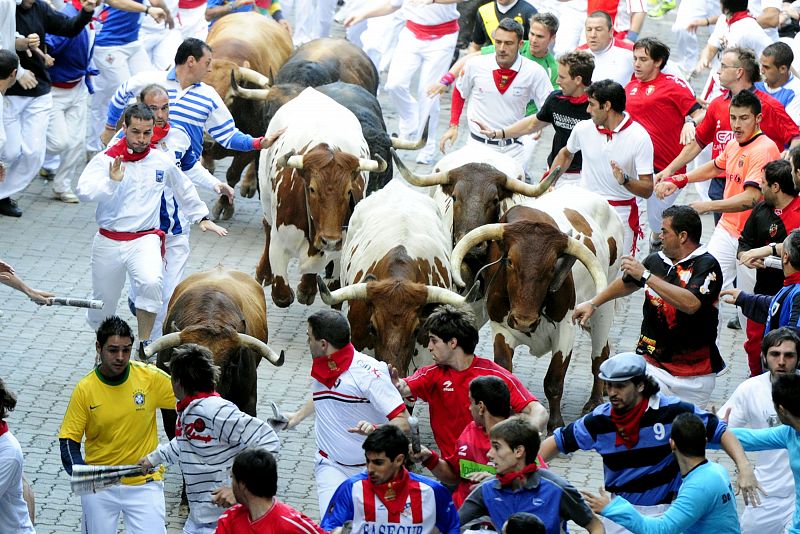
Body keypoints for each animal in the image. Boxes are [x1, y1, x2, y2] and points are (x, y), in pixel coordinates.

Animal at [255, 88, 382, 310]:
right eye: (312, 189)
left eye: (348, 191)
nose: (329, 240)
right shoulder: (280, 242)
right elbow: (282, 296)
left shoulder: (341, 241)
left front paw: (307, 288)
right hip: (265, 199)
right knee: (267, 226)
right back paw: (263, 273)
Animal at [454, 186, 620, 434]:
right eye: (510, 261)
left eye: (552, 267)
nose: (524, 320)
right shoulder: (501, 327)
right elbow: (504, 370)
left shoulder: (565, 331)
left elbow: (553, 381)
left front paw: (555, 423)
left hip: (604, 306)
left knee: (599, 355)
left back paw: (594, 400)